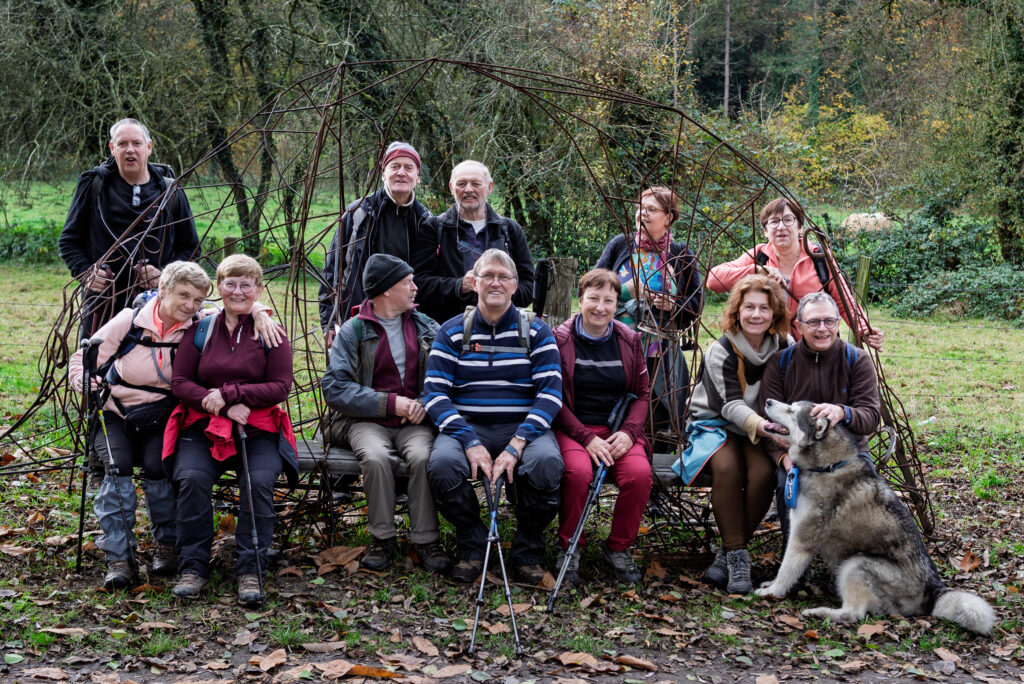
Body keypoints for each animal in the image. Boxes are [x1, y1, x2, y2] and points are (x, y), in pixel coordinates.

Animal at [755, 400, 995, 635]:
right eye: (790, 404)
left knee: (853, 614)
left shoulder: (801, 540)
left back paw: (820, 612)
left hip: (856, 564)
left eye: (792, 411)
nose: (767, 401)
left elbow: (786, 570)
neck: (827, 467)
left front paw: (772, 591)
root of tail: (932, 594)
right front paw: (771, 585)